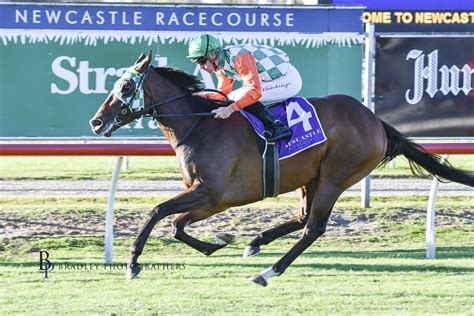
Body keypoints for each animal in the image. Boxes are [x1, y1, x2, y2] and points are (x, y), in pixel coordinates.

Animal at [90, 51, 474, 286]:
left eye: (126, 85)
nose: (96, 122)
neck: (200, 126)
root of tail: (375, 120)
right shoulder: (208, 199)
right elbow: (176, 225)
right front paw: (219, 242)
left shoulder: (211, 194)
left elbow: (158, 212)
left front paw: (133, 263)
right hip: (310, 178)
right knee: (303, 218)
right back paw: (256, 242)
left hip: (335, 177)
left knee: (314, 227)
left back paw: (268, 271)